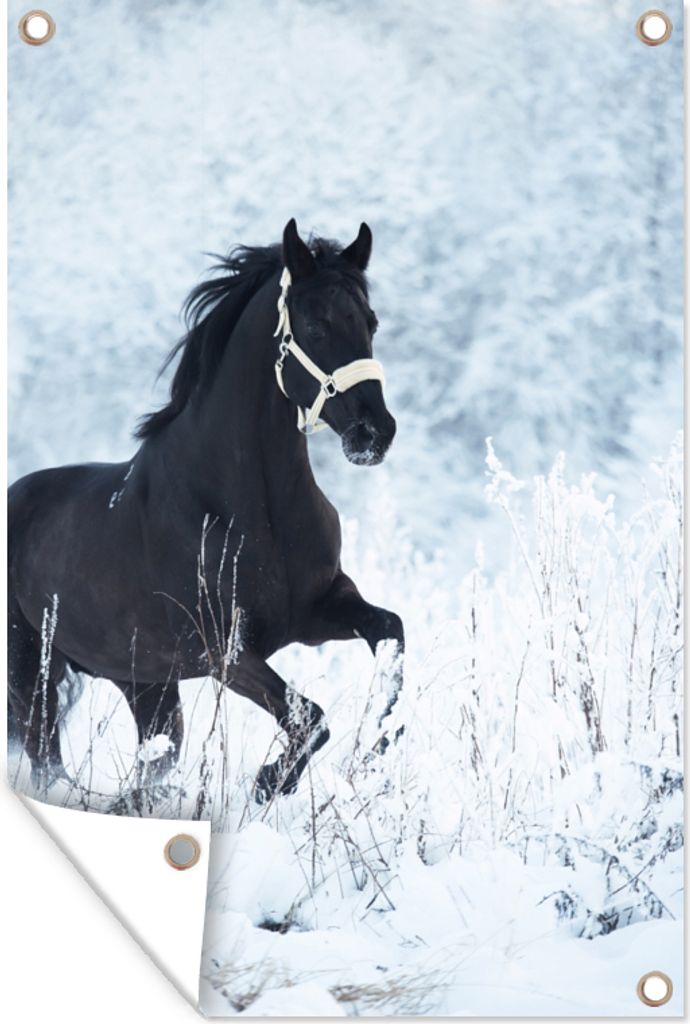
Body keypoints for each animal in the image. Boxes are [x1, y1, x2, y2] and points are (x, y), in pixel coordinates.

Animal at [8, 219, 404, 803]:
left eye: (370, 320)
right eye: (316, 324)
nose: (374, 432)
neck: (252, 506)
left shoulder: (320, 610)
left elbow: (391, 634)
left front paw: (377, 745)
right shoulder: (224, 650)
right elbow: (309, 717)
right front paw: (269, 781)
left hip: (146, 686)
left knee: (150, 761)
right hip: (31, 673)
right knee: (46, 762)